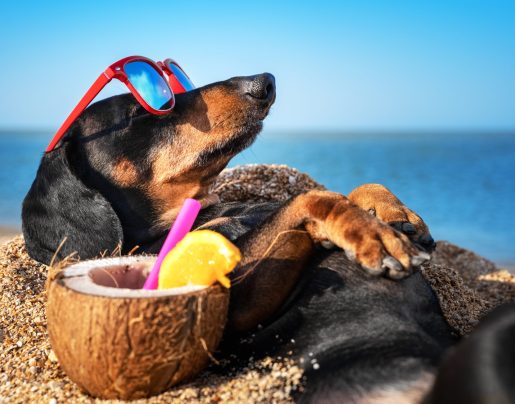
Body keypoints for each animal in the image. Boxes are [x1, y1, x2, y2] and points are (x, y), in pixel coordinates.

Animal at [22, 73, 510, 400]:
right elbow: (311, 198)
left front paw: (394, 214)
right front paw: (370, 232)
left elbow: (339, 192)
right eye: (140, 111)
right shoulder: (229, 318)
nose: (264, 81)